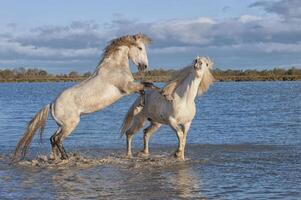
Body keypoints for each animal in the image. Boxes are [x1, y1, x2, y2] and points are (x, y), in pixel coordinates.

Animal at [12, 33, 161, 162]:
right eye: (140, 48)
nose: (144, 66)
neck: (114, 68)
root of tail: (52, 104)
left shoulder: (130, 88)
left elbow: (144, 89)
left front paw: (142, 104)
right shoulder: (127, 88)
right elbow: (147, 86)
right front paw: (156, 96)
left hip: (62, 125)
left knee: (52, 139)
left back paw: (56, 158)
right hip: (70, 125)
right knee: (57, 139)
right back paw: (66, 158)